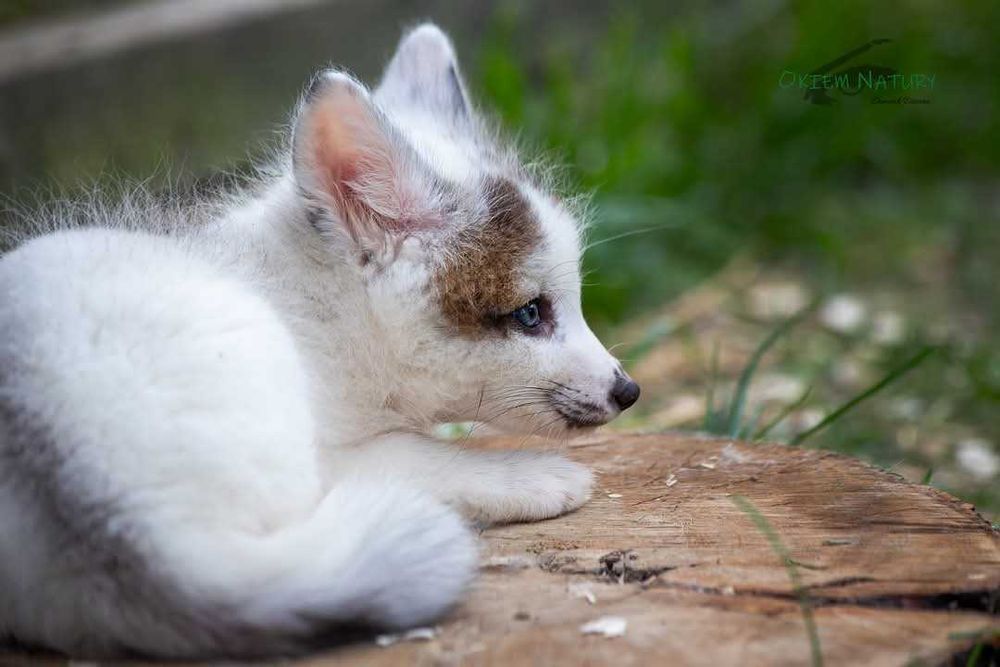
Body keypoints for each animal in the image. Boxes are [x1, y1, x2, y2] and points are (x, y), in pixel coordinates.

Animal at [0, 23, 639, 658]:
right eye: (530, 314)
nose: (628, 391)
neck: (323, 310)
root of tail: (117, 516)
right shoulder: (340, 448)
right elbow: (420, 452)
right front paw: (529, 476)